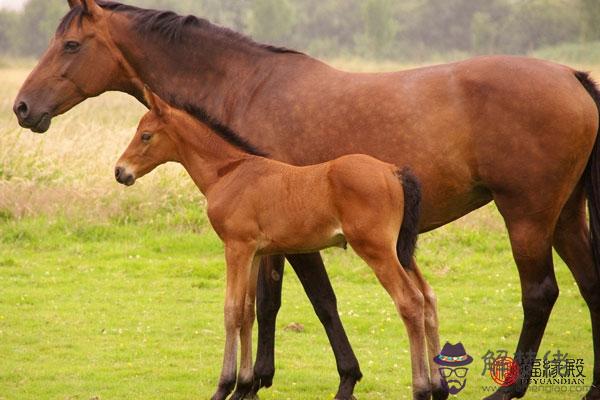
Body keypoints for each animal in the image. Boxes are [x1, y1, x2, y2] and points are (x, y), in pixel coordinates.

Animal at [115, 89, 424, 398]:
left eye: (145, 135)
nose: (120, 171)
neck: (228, 173)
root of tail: (393, 171)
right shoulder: (254, 253)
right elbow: (247, 311)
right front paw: (243, 385)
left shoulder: (236, 248)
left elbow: (231, 311)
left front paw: (224, 386)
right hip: (397, 252)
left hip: (377, 250)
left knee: (410, 301)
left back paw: (422, 388)